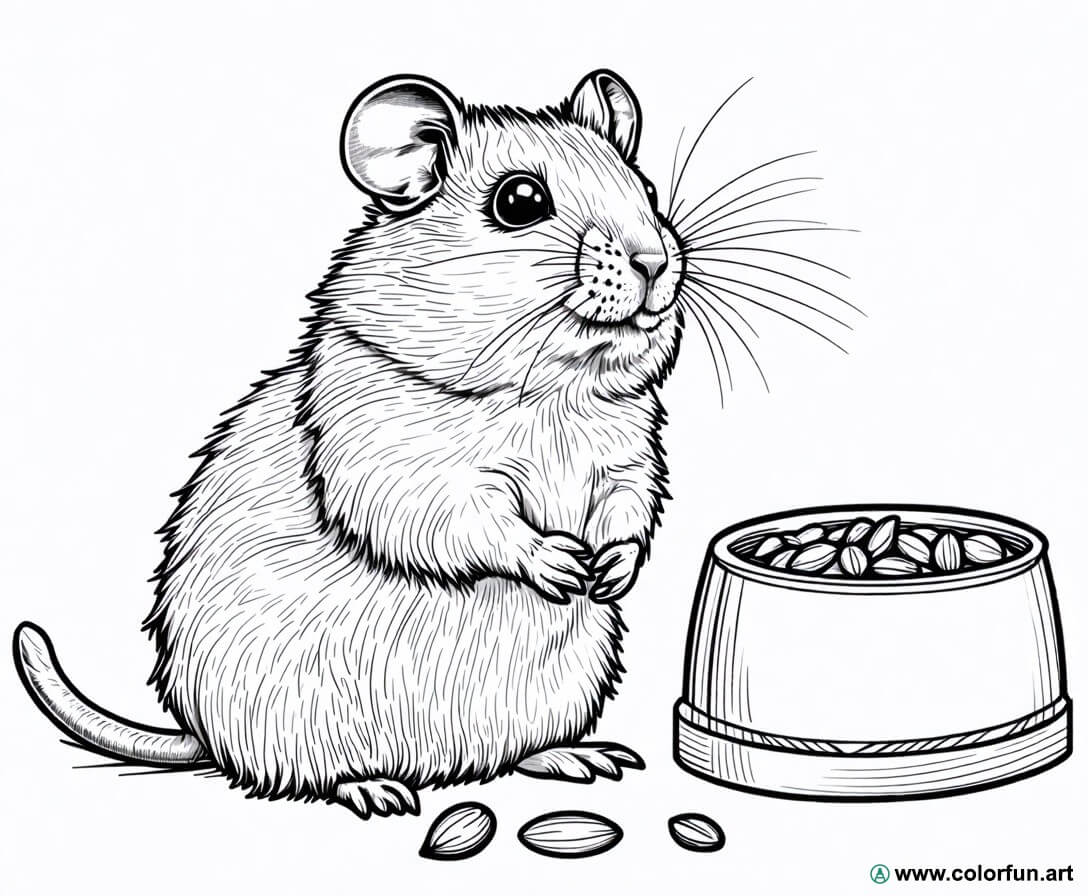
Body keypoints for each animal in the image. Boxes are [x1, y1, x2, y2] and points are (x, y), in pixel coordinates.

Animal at [14, 69, 685, 820]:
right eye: (520, 201)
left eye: (646, 191)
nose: (656, 261)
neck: (549, 392)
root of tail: (201, 734)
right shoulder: (400, 464)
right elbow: (470, 522)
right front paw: (559, 565)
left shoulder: (628, 455)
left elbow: (630, 507)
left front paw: (613, 570)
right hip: (292, 716)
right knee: (308, 774)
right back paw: (374, 789)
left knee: (513, 753)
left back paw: (577, 756)